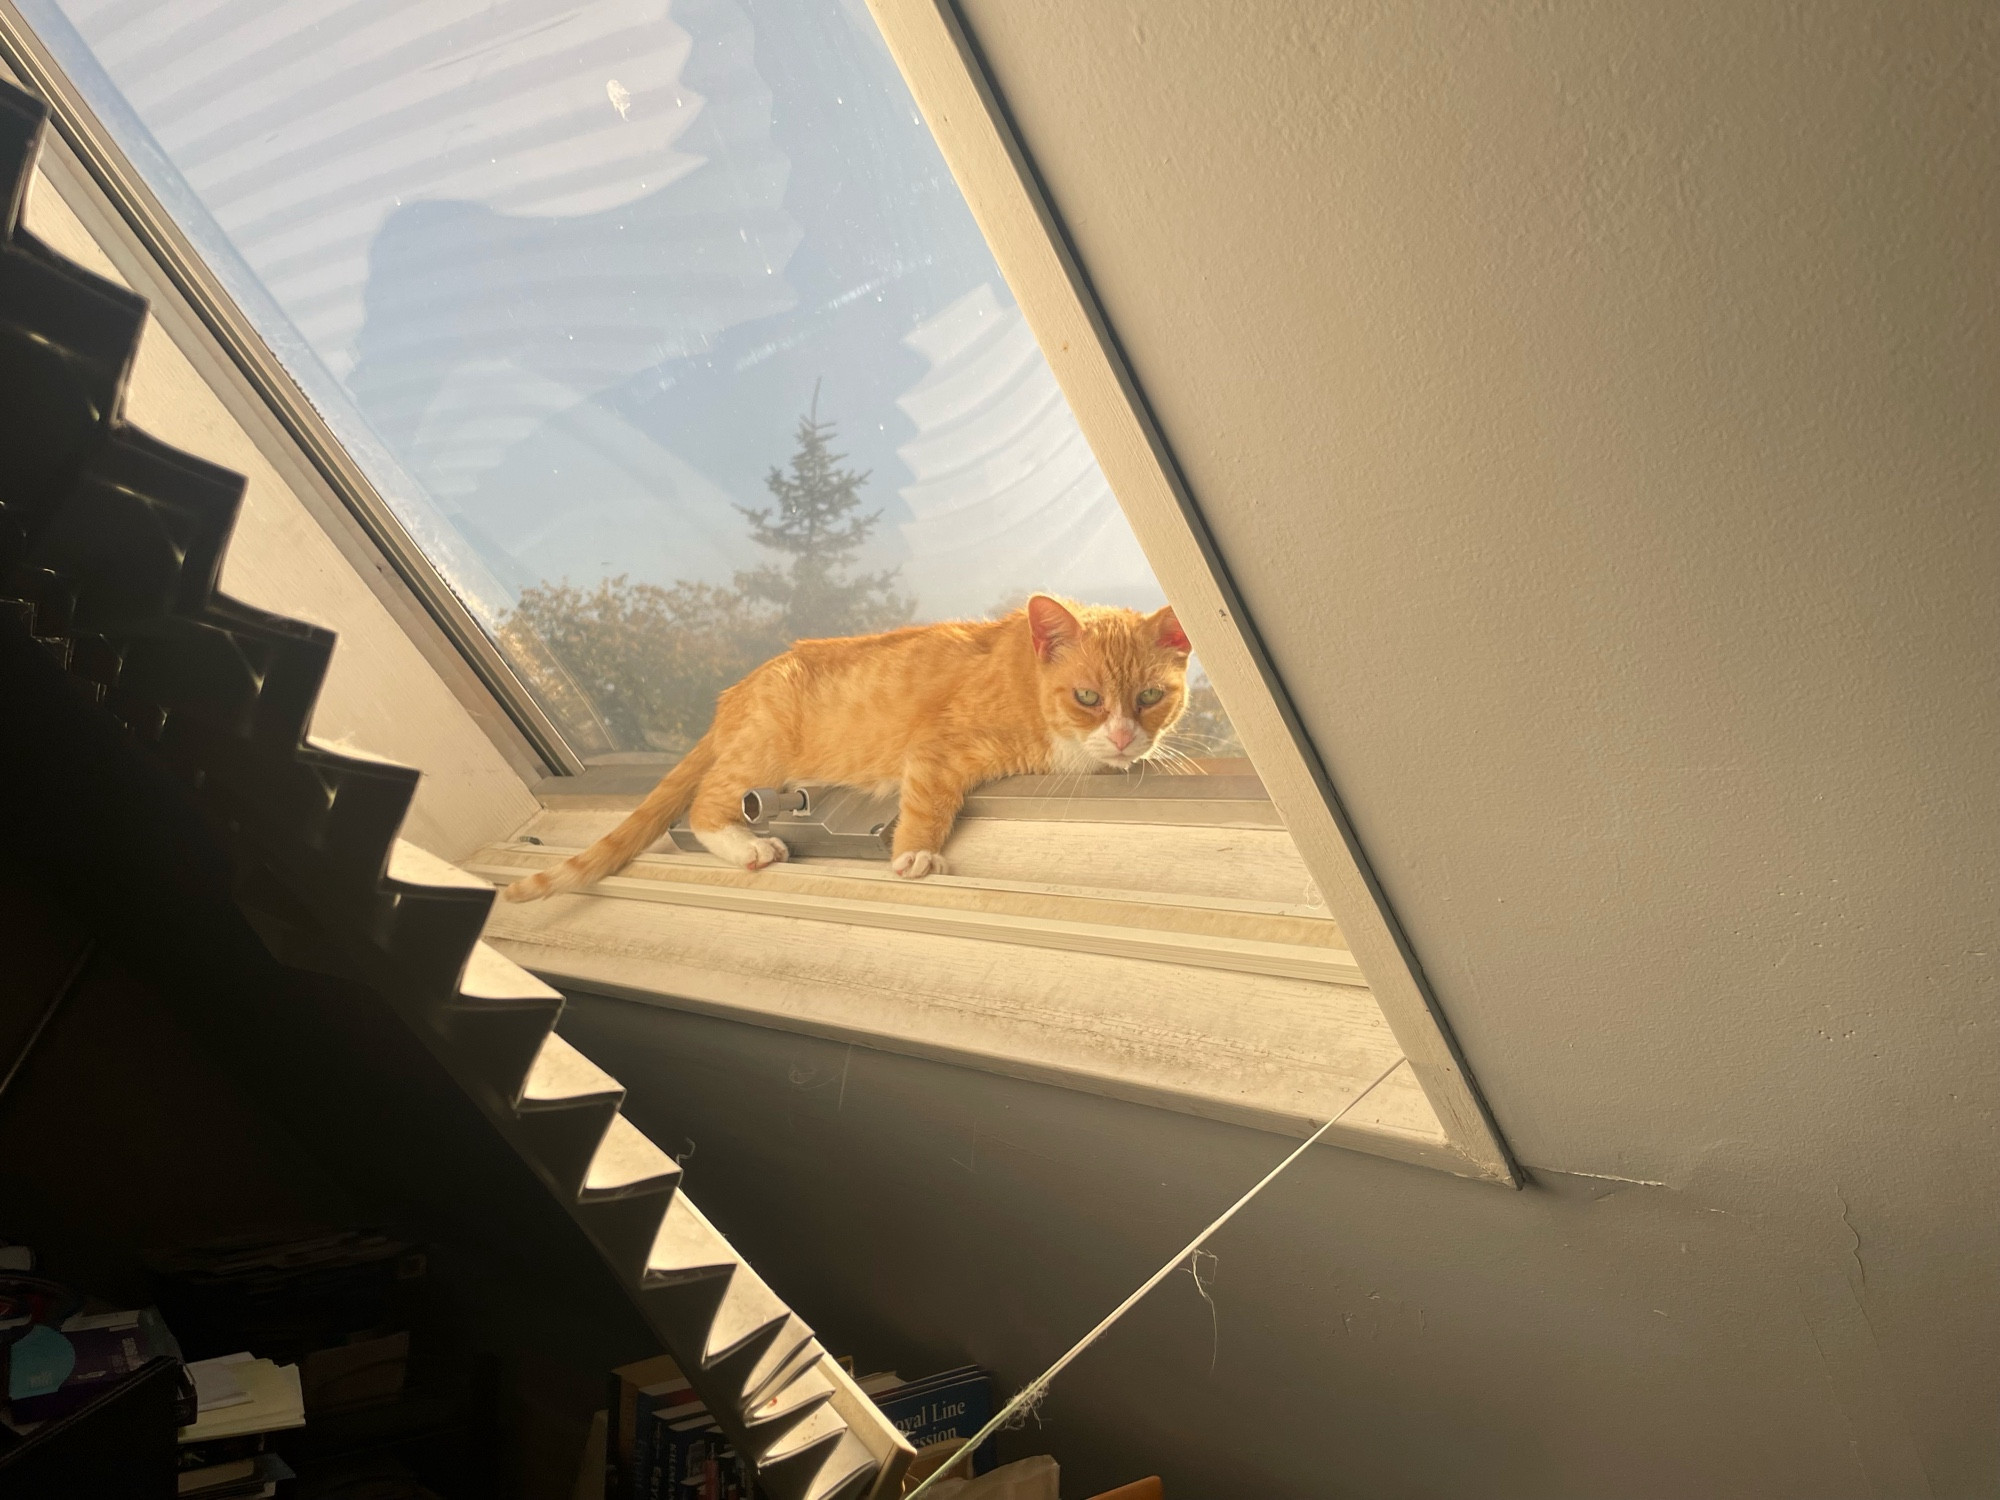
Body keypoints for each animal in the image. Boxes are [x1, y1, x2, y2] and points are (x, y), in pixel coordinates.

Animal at [500, 596, 1184, 904]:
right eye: (1088, 696)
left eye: (1151, 696)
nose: (1124, 735)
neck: (1026, 680)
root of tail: (737, 691)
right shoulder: (939, 748)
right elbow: (928, 804)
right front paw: (916, 856)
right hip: (761, 754)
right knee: (704, 804)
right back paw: (750, 848)